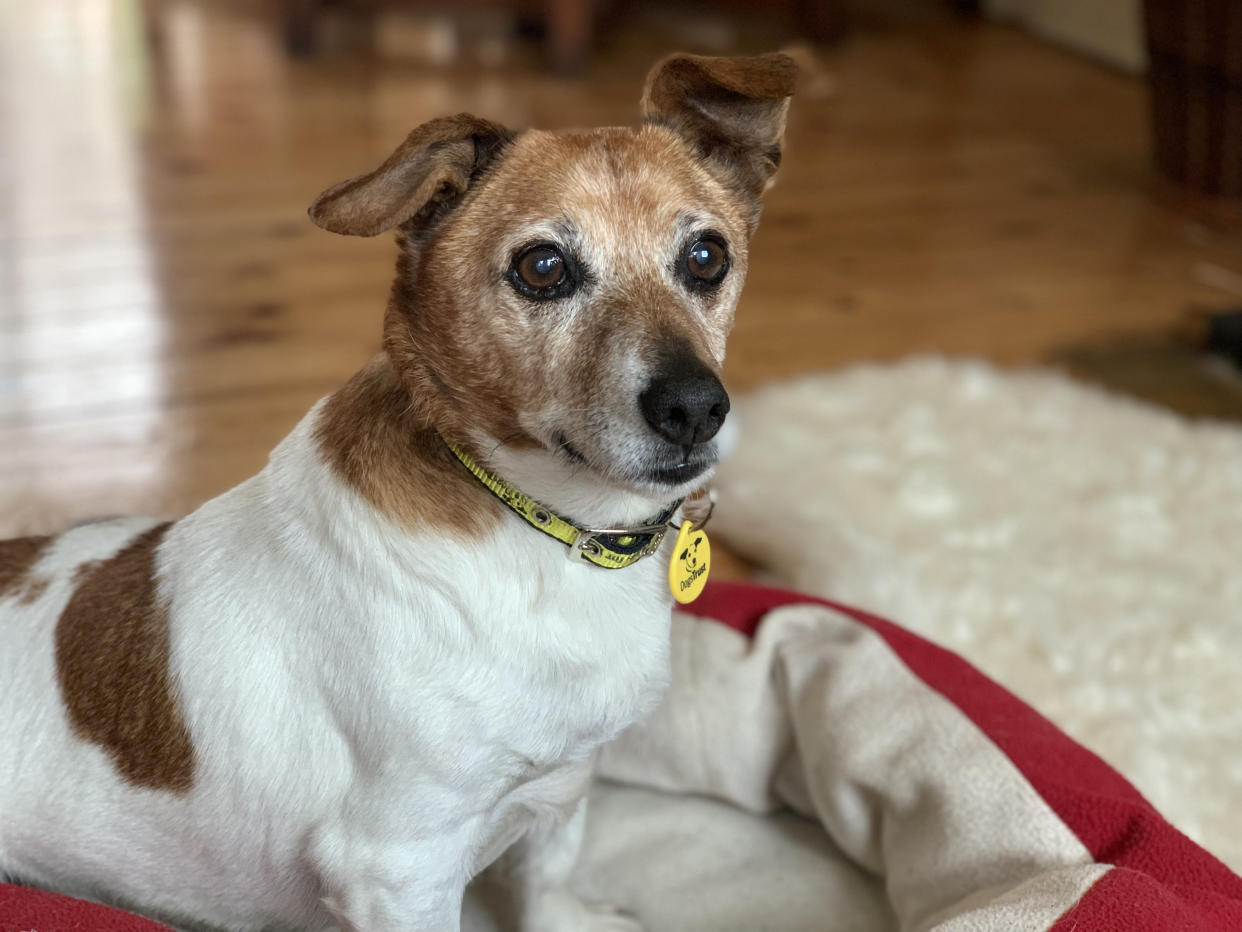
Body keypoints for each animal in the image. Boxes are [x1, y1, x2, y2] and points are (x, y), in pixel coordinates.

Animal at [0, 52, 794, 932]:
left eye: (706, 257)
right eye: (543, 268)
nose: (695, 407)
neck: (547, 533)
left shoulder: (561, 788)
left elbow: (547, 876)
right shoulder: (399, 866)